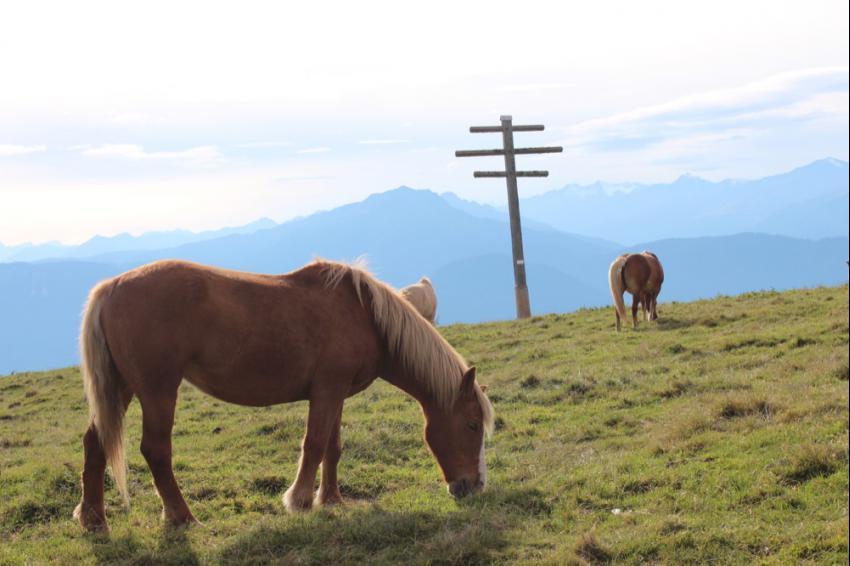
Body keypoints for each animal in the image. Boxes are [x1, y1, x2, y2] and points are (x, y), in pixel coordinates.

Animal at [75, 260, 496, 536]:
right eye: (472, 425)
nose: (473, 486)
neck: (365, 316)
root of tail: (112, 287)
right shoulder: (326, 391)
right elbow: (314, 445)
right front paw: (300, 500)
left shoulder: (336, 393)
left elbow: (333, 447)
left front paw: (331, 499)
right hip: (158, 390)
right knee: (156, 450)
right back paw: (182, 517)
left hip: (123, 387)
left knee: (96, 442)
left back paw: (94, 518)